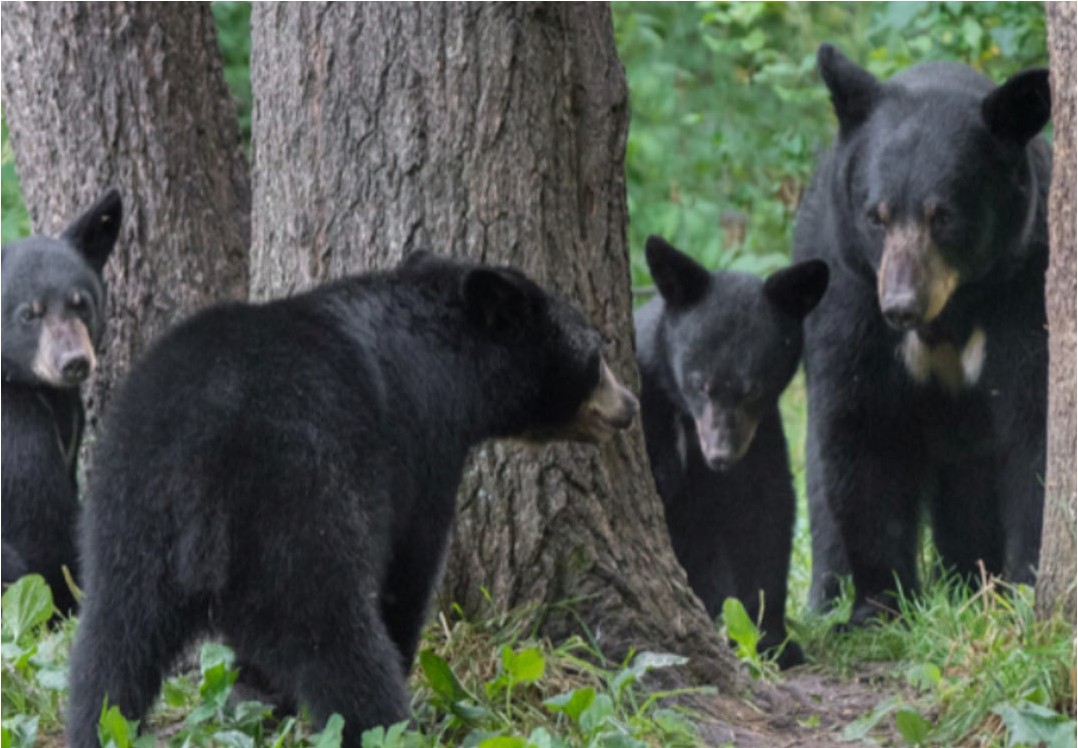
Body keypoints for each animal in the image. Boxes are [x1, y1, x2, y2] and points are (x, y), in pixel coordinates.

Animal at [65, 252, 638, 748]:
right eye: (597, 353)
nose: (629, 406)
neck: (445, 358)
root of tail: (197, 465)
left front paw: (254, 699)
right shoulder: (421, 445)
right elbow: (411, 565)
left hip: (127, 516)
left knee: (110, 648)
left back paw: (98, 727)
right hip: (298, 508)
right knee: (336, 641)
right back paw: (387, 726)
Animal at [633, 237, 827, 672]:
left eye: (753, 388)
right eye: (699, 383)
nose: (720, 455)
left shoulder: (760, 437)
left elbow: (765, 516)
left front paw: (771, 639)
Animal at [797, 43, 1047, 629]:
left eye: (943, 215)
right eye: (877, 215)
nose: (901, 307)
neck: (950, 312)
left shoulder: (1025, 288)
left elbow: (1034, 427)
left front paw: (1026, 588)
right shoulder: (851, 292)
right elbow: (864, 430)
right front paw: (879, 605)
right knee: (819, 477)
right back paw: (825, 596)